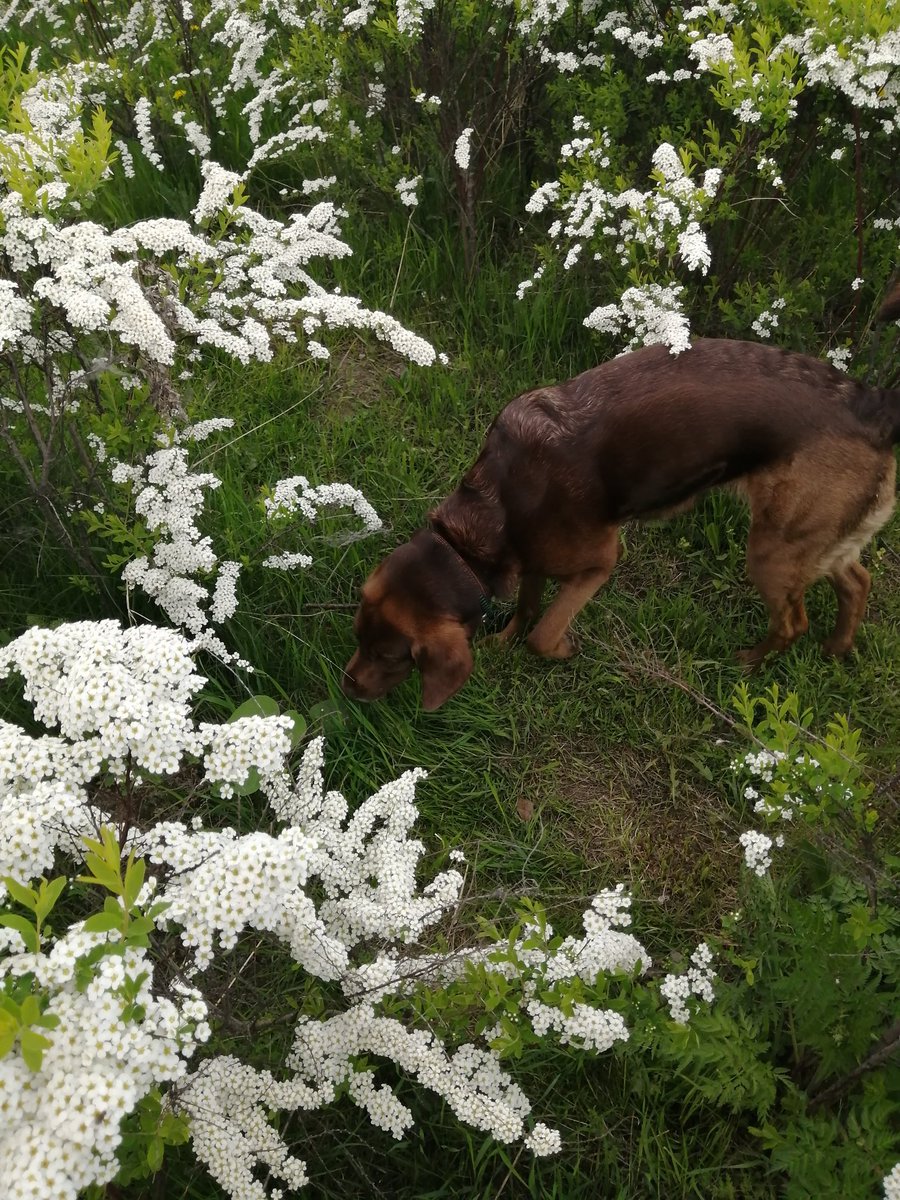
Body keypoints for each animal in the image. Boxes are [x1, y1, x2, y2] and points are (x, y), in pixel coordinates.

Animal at [345, 285, 900, 705]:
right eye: (358, 638)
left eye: (390, 656)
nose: (347, 688)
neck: (486, 515)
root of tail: (873, 405)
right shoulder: (533, 559)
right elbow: (526, 609)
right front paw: (505, 641)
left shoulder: (599, 563)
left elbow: (543, 634)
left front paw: (560, 649)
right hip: (818, 537)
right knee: (857, 582)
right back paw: (837, 648)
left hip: (773, 550)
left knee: (793, 622)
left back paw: (746, 664)